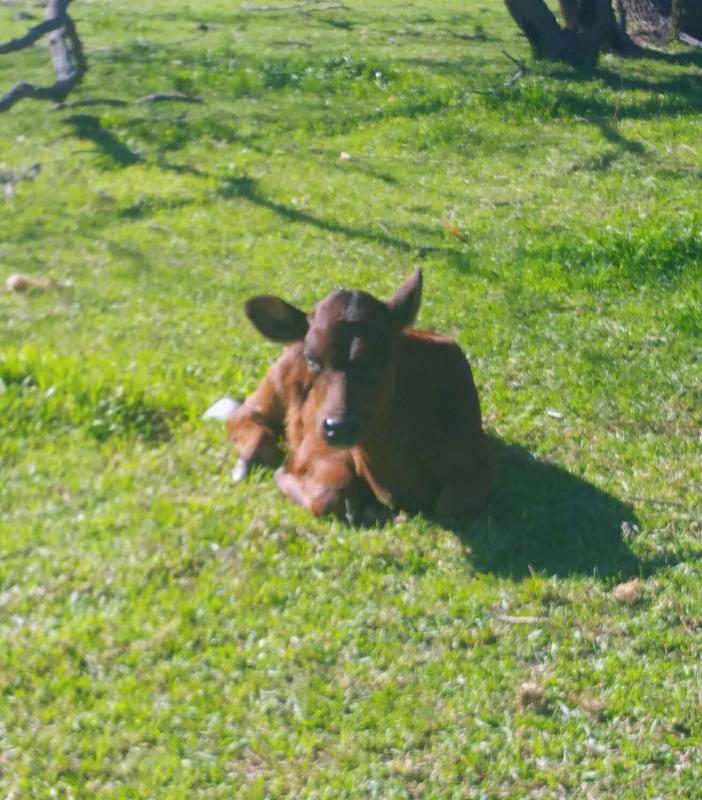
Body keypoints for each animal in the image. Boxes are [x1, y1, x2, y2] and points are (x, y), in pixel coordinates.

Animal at [207, 269, 494, 520]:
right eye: (311, 359)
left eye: (383, 357)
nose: (341, 426)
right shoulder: (319, 445)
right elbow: (330, 495)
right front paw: (283, 475)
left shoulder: (478, 457)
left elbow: (453, 504)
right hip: (274, 384)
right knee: (246, 416)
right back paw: (246, 463)